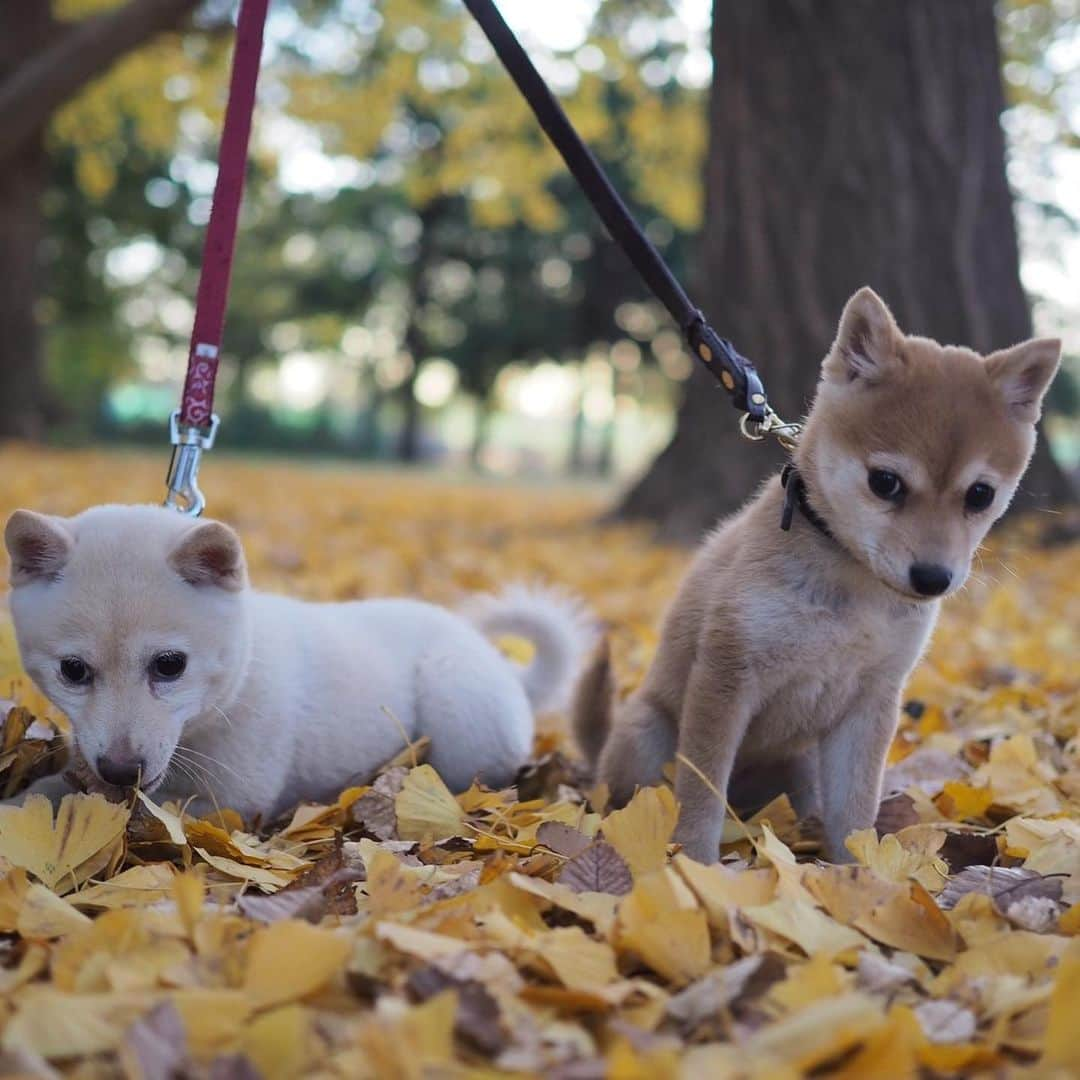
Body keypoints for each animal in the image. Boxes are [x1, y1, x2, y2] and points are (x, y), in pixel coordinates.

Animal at [4, 505, 591, 816]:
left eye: (170, 665)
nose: (122, 769)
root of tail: (502, 665)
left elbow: (92, 803)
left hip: (458, 706)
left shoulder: (228, 799)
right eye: (73, 671)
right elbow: (66, 787)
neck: (237, 678)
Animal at [578, 285, 1058, 859]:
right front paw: (694, 862)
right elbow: (701, 794)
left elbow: (855, 807)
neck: (852, 592)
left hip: (803, 764)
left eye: (980, 495)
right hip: (647, 735)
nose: (933, 578)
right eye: (885, 482)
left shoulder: (871, 702)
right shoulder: (724, 679)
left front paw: (864, 869)